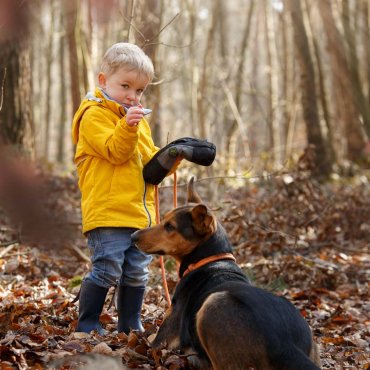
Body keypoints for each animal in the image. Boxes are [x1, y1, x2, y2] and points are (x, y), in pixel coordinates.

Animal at [132, 178, 320, 368]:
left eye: (170, 226)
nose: (133, 236)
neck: (211, 258)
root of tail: (284, 345)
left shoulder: (164, 336)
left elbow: (151, 341)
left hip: (212, 305)